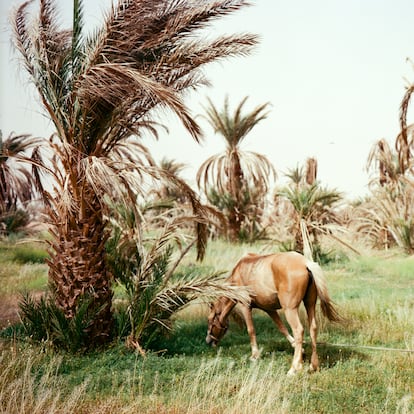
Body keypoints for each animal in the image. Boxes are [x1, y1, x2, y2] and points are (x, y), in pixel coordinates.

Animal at [205, 251, 342, 374]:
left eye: (210, 320)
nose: (208, 341)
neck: (240, 271)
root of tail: (305, 263)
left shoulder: (245, 306)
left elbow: (251, 330)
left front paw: (254, 355)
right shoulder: (270, 309)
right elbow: (282, 328)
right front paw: (300, 350)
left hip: (290, 309)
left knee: (299, 330)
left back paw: (294, 368)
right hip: (310, 304)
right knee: (313, 328)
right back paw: (313, 366)